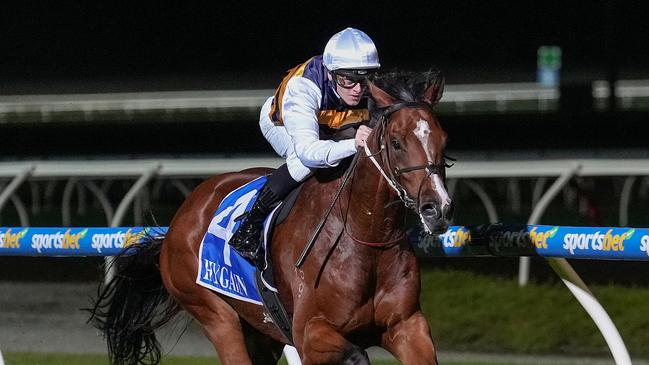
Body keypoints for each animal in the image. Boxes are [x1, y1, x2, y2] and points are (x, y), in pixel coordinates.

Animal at [87, 69, 450, 362]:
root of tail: (179, 220)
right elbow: (355, 354)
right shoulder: (309, 333)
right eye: (397, 142)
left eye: (444, 140)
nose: (437, 207)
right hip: (215, 314)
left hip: (261, 333)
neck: (364, 237)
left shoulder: (407, 325)